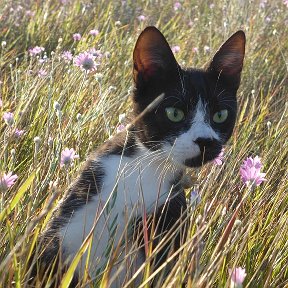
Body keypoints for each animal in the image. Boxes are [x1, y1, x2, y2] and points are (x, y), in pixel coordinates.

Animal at [29, 25, 245, 286]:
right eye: (174, 113)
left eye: (220, 115)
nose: (206, 142)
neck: (148, 166)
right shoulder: (65, 229)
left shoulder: (168, 225)